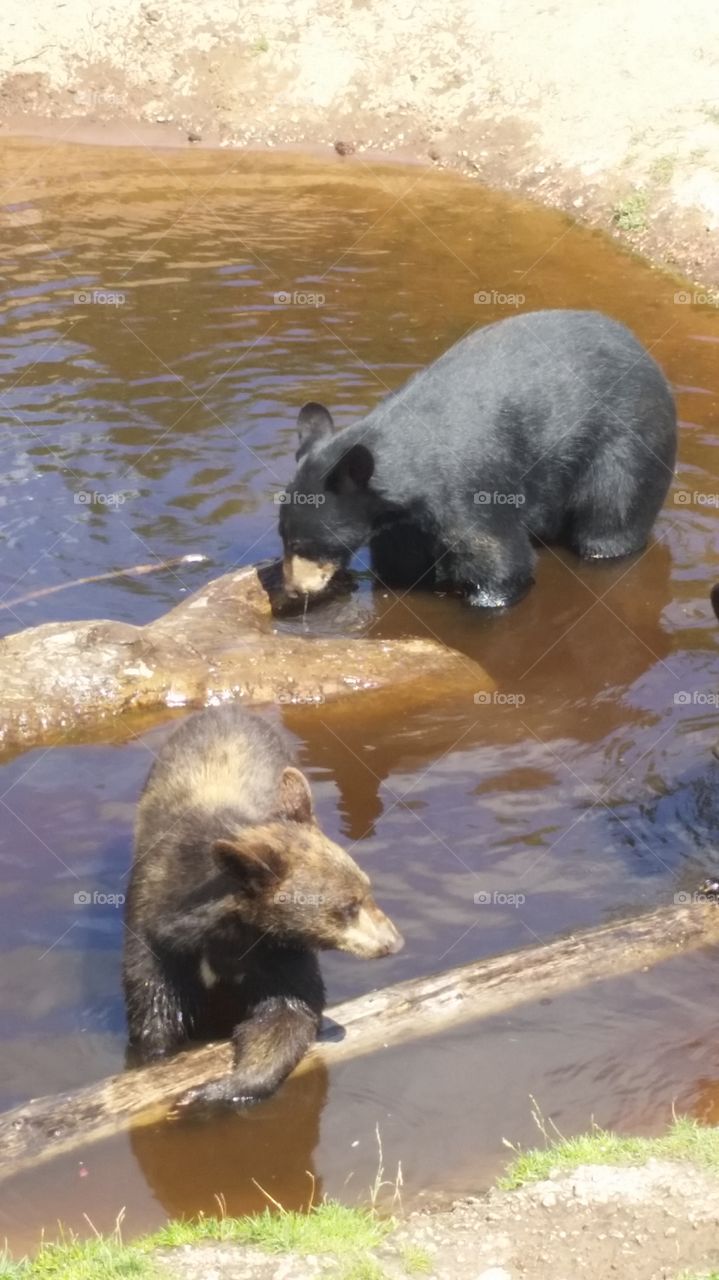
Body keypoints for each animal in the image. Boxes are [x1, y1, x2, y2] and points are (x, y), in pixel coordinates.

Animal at [122, 705, 403, 1107]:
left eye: (367, 889)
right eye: (348, 905)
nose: (393, 941)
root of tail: (228, 708)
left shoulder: (277, 948)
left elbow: (287, 1011)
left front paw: (217, 1089)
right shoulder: (154, 930)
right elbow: (155, 1004)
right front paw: (160, 1059)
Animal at [278, 309, 677, 609]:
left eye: (303, 545)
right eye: (283, 537)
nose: (294, 590)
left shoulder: (469, 488)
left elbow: (499, 557)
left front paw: (487, 597)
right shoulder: (402, 520)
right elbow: (401, 557)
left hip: (629, 441)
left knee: (612, 516)